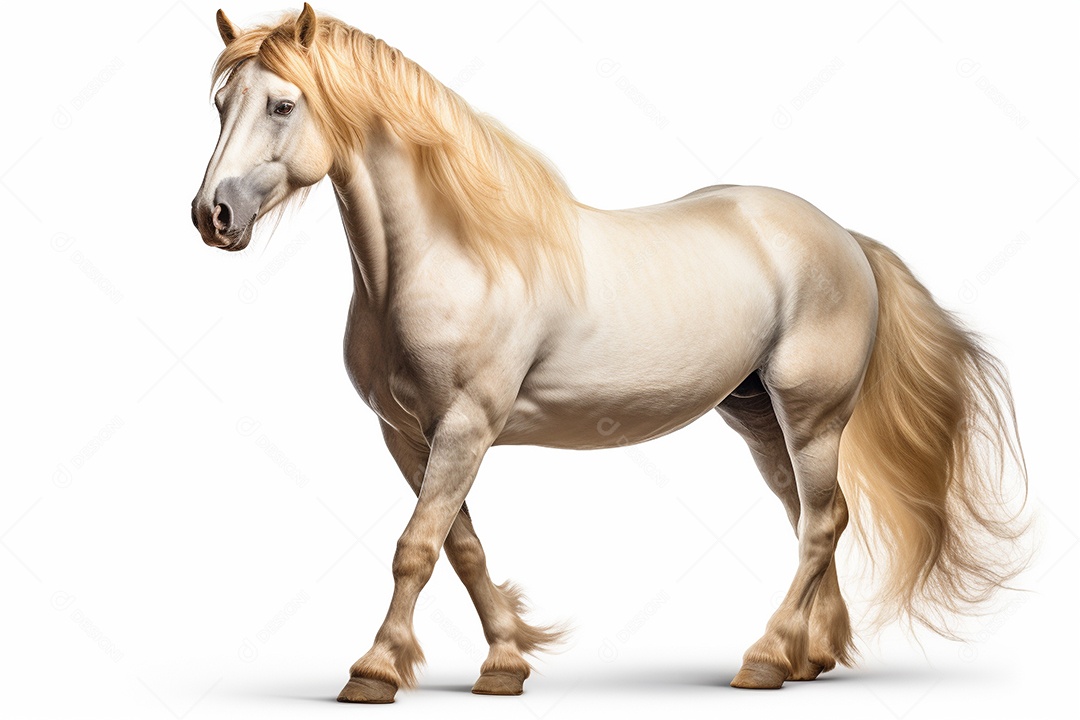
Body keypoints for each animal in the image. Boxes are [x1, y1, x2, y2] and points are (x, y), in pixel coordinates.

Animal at [192, 5, 1028, 703]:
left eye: (282, 104)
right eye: (221, 104)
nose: (213, 215)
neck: (450, 255)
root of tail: (845, 239)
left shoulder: (465, 426)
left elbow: (417, 547)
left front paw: (373, 672)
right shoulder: (408, 434)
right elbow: (462, 547)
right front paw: (505, 664)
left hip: (813, 415)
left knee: (822, 524)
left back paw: (764, 660)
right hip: (758, 418)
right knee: (813, 517)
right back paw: (808, 657)